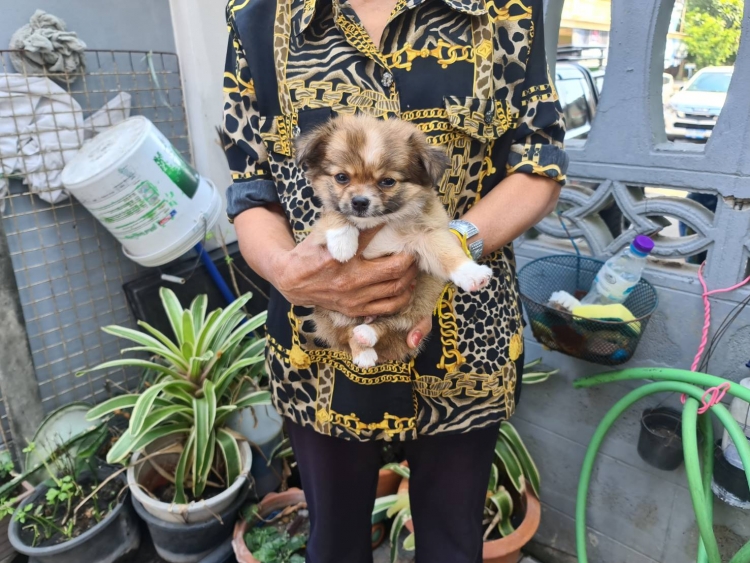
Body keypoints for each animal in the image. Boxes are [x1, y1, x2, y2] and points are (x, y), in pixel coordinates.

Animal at [295, 114, 492, 367]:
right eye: (341, 178)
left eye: (387, 181)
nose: (360, 202)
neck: (379, 223)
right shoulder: (320, 231)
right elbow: (333, 212)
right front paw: (342, 243)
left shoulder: (425, 235)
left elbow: (446, 253)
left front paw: (472, 274)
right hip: (334, 310)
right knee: (347, 331)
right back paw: (363, 351)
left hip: (415, 303)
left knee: (387, 326)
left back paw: (366, 335)